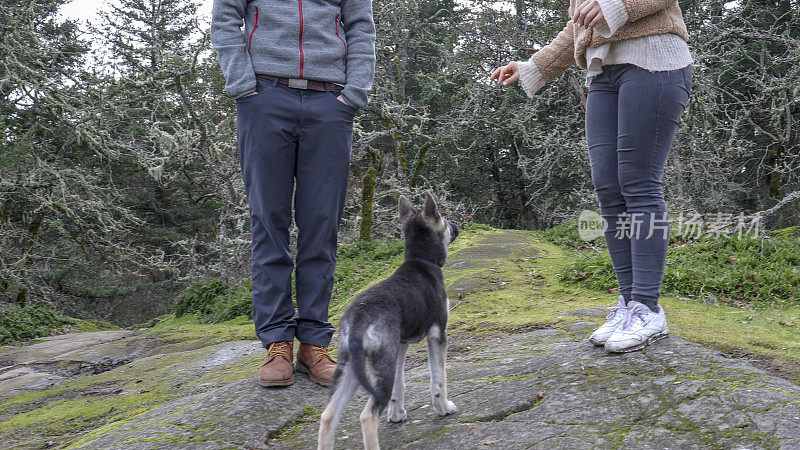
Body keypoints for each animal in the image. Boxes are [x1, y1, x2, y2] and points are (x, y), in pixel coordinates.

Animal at [318, 191, 460, 450]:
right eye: (444, 220)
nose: (456, 226)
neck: (422, 260)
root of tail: (359, 318)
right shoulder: (437, 334)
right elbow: (438, 378)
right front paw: (444, 408)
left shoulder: (400, 346)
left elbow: (400, 385)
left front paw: (397, 414)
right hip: (381, 367)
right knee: (367, 416)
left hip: (349, 366)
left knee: (328, 415)